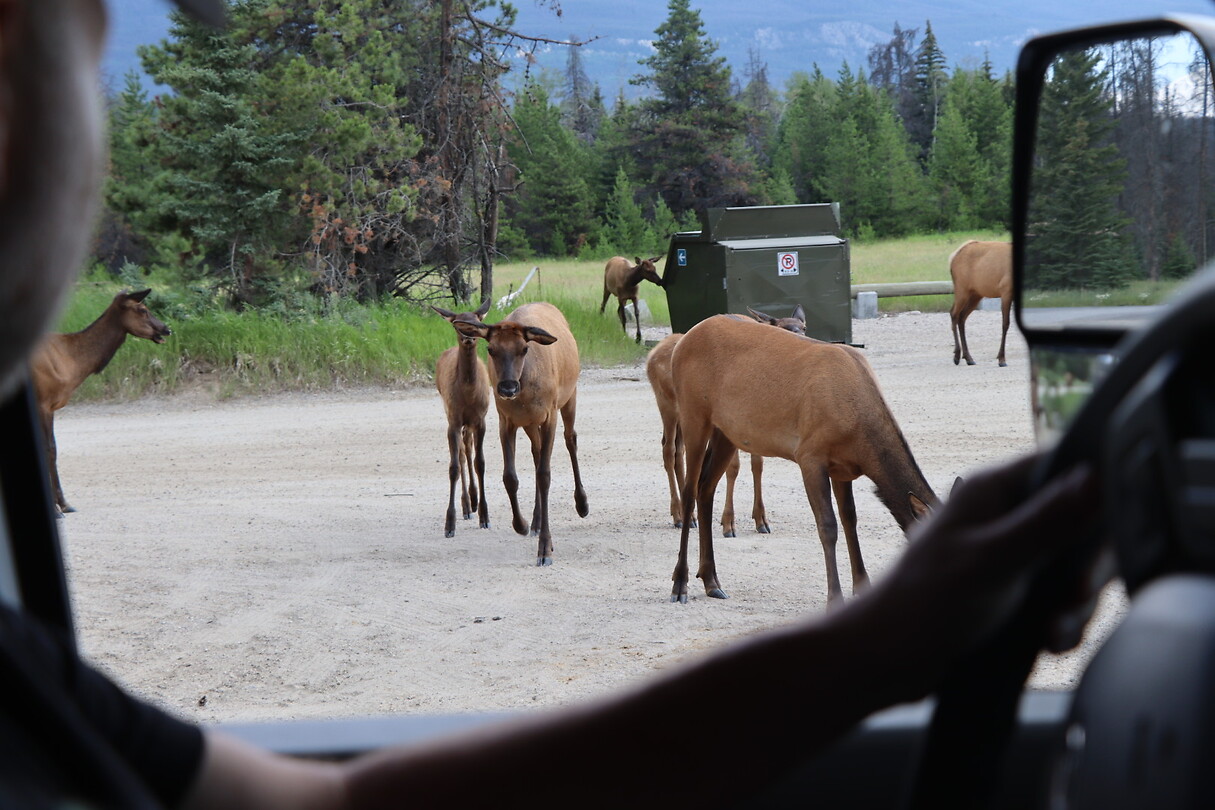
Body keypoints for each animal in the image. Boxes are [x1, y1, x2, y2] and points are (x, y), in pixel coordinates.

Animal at [30, 289, 172, 514]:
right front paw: (57, 506)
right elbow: (48, 449)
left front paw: (64, 504)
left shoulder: (50, 407)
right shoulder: (43, 402)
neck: (72, 362)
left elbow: (52, 450)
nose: (167, 329)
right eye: (142, 309)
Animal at [432, 300, 492, 538]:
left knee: (468, 448)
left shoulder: (481, 419)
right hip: (451, 415)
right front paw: (449, 524)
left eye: (478, 322)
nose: (469, 337)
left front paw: (485, 517)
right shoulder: (454, 420)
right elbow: (454, 467)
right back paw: (467, 506)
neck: (468, 393)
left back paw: (474, 502)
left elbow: (480, 463)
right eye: (457, 324)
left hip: (470, 423)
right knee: (461, 453)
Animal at [452, 302, 589, 566]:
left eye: (524, 348)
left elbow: (545, 475)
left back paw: (582, 503)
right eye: (491, 349)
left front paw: (545, 549)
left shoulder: (549, 414)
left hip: (570, 396)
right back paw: (535, 521)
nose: (507, 387)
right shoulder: (506, 420)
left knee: (571, 439)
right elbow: (510, 477)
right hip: (529, 423)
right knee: (536, 452)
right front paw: (522, 524)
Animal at [645, 305, 809, 536]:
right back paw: (678, 515)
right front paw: (728, 523)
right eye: (782, 327)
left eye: (804, 327)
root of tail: (652, 354)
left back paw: (690, 515)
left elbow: (757, 465)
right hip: (666, 404)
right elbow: (733, 468)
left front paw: (761, 519)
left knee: (680, 451)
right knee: (668, 450)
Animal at [669, 314, 938, 605]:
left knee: (706, 487)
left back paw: (711, 580)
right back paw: (680, 583)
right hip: (693, 412)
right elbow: (828, 526)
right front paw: (834, 598)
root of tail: (682, 341)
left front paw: (861, 587)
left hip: (727, 431)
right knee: (690, 490)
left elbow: (850, 519)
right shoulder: (810, 455)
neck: (860, 437)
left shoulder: (843, 468)